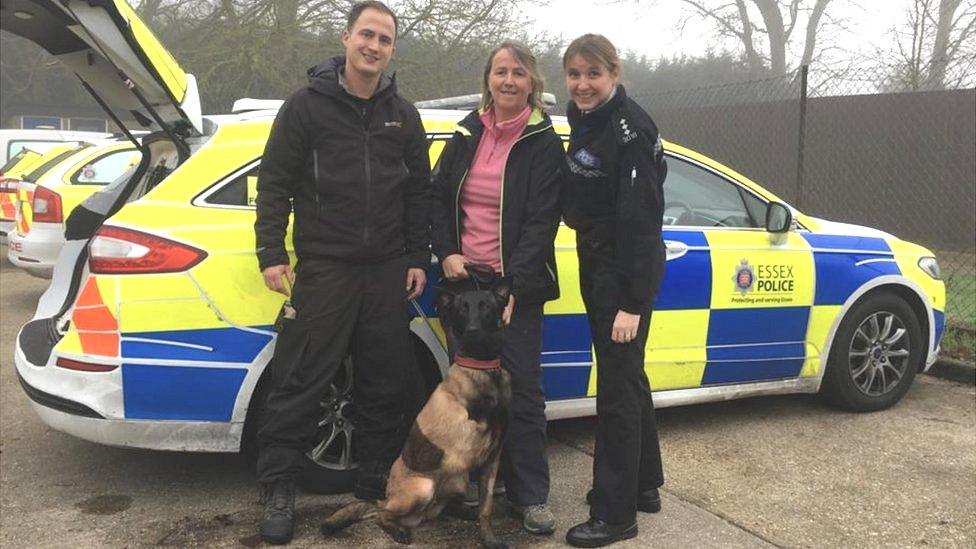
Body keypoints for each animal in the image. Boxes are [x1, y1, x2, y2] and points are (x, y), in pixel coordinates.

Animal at [322, 270, 520, 548]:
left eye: (486, 308)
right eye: (462, 310)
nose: (472, 331)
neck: (482, 369)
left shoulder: (493, 457)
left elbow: (486, 507)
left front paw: (488, 538)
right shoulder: (471, 445)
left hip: (455, 482)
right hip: (423, 488)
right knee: (381, 513)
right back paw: (398, 530)